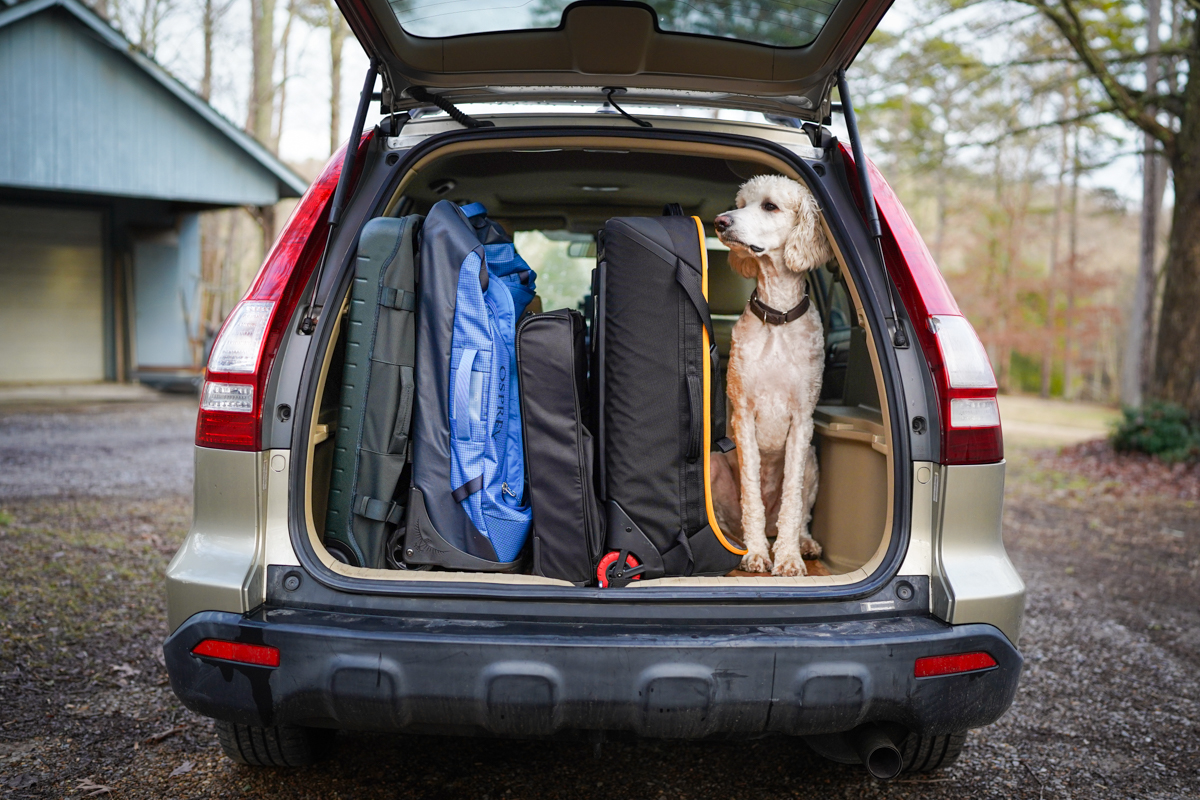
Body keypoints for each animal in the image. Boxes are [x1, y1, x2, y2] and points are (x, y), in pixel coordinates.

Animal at [715, 175, 830, 575]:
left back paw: (804, 543)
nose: (720, 221)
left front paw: (789, 558)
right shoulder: (744, 415)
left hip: (812, 462)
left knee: (800, 516)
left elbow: (793, 501)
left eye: (770, 206)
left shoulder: (802, 421)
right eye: (740, 203)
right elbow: (751, 492)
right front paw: (755, 554)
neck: (776, 317)